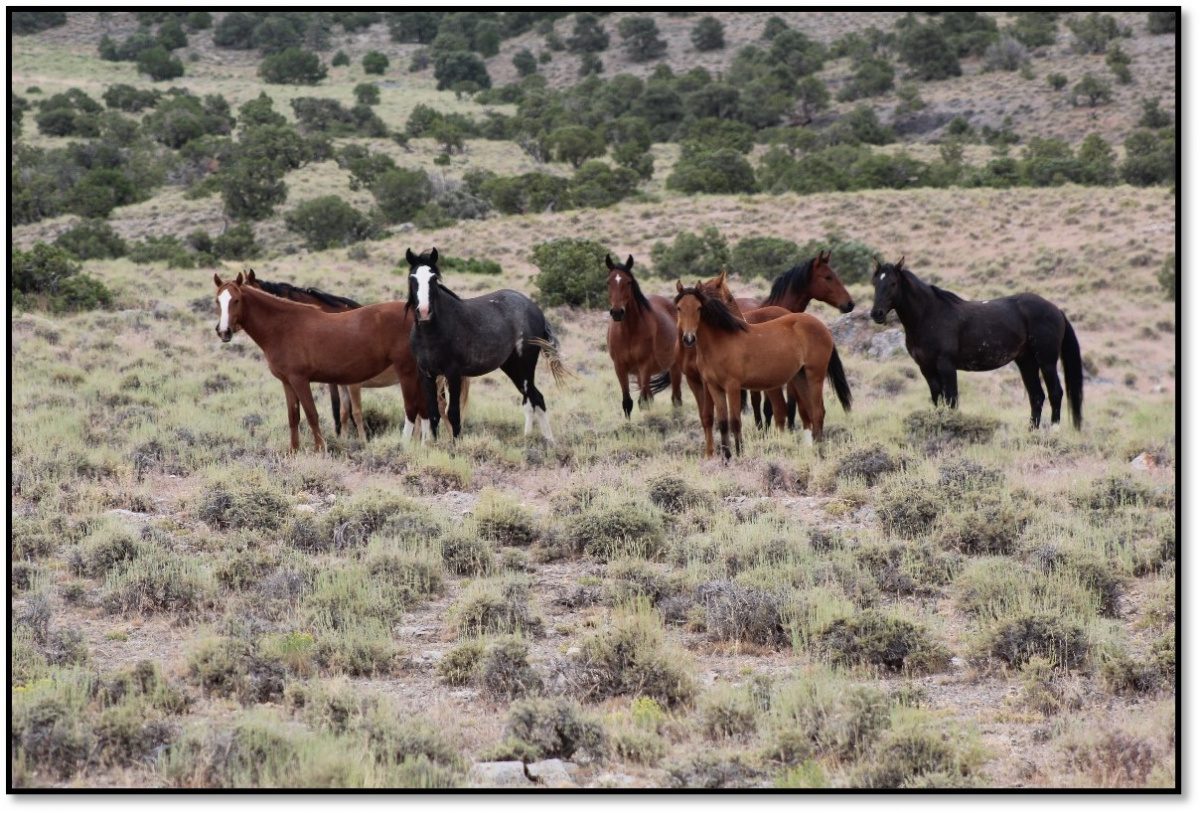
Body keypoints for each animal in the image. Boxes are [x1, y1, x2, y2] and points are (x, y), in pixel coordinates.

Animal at [242, 271, 468, 443]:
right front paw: (343, 438)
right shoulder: (340, 383)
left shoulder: (351, 384)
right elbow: (342, 412)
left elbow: (352, 412)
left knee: (437, 408)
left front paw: (361, 440)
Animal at [405, 248, 568, 443]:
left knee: (536, 398)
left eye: (434, 278)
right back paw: (528, 436)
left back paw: (549, 440)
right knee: (530, 399)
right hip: (511, 366)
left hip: (526, 365)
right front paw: (434, 445)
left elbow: (453, 414)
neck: (432, 333)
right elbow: (434, 413)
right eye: (412, 277)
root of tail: (535, 309)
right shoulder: (426, 374)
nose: (424, 312)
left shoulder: (453, 373)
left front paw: (456, 445)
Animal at [609, 253, 686, 419]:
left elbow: (642, 401)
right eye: (608, 282)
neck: (628, 332)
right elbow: (627, 403)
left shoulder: (644, 365)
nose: (617, 312)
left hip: (674, 367)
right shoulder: (620, 367)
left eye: (628, 282)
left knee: (676, 398)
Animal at [676, 281, 854, 462]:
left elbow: (735, 421)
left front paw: (739, 456)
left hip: (815, 376)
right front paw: (726, 458)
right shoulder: (714, 387)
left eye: (699, 308)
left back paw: (821, 455)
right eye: (679, 308)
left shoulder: (732, 387)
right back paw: (814, 453)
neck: (720, 342)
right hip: (800, 377)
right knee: (810, 412)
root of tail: (822, 326)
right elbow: (723, 423)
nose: (688, 338)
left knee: (818, 412)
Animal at [868, 257, 1084, 429]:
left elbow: (951, 401)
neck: (928, 315)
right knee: (1036, 396)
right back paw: (1032, 432)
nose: (876, 314)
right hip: (1026, 362)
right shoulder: (926, 368)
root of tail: (1056, 310)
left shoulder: (946, 366)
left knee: (1055, 393)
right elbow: (937, 399)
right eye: (874, 283)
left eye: (893, 283)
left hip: (1046, 361)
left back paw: (1053, 430)